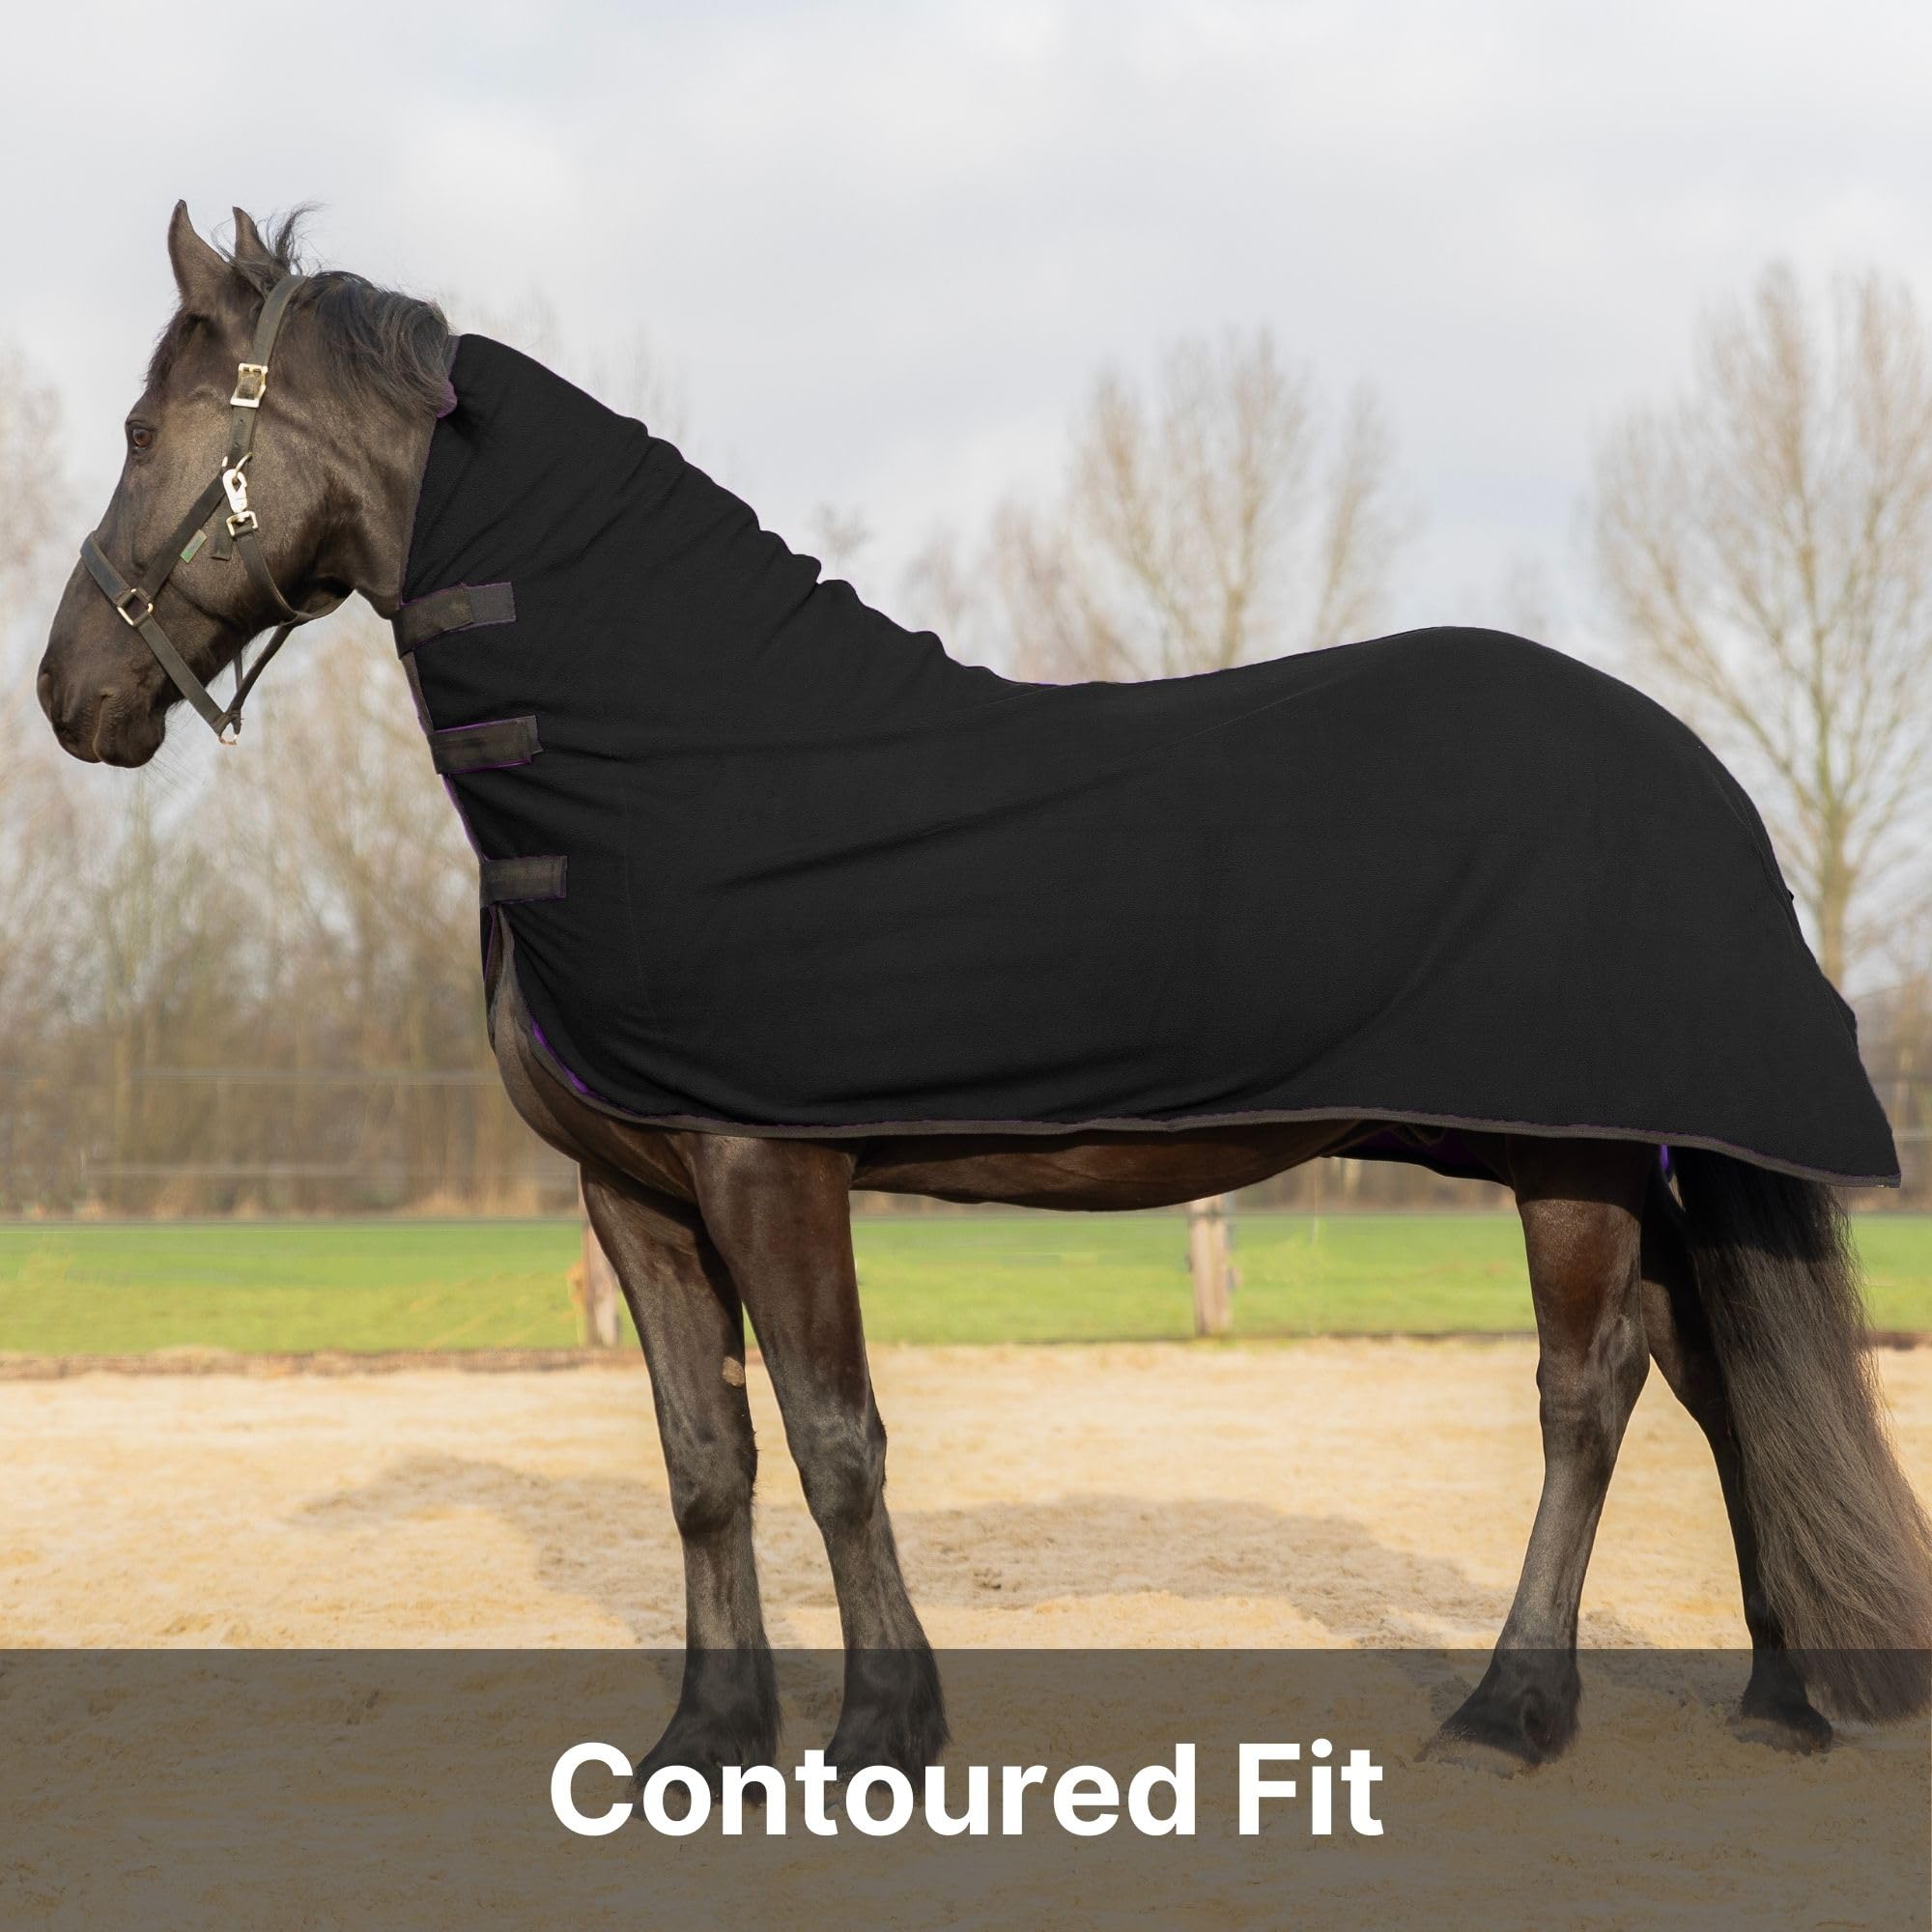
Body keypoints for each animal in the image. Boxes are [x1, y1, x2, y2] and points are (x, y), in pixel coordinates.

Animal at [37, 203, 1932, 1781]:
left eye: (143, 435)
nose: (70, 693)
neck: (674, 750)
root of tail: (1698, 773)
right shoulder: (633, 1192)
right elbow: (704, 1463)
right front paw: (705, 1741)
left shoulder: (767, 1166)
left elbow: (834, 1442)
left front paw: (885, 1729)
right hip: (1618, 1154)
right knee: (1713, 1374)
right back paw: (1782, 1699)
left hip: (1573, 1166)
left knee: (1588, 1397)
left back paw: (1512, 1710)